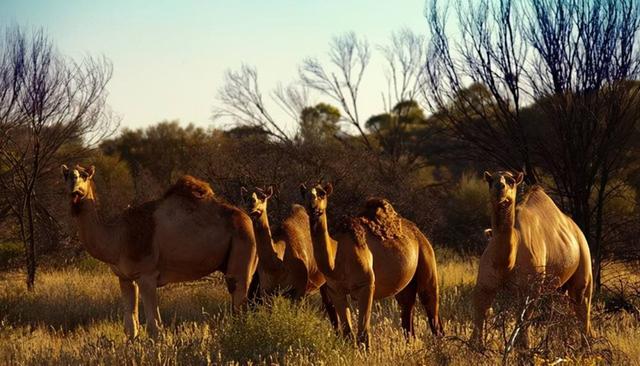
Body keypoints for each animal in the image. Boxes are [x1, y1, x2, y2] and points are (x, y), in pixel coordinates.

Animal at [62, 164, 258, 338]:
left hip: (242, 251)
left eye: (84, 175)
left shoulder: (147, 276)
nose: (74, 190)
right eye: (66, 175)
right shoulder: (125, 278)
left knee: (239, 300)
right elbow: (131, 327)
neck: (118, 238)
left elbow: (154, 327)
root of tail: (247, 220)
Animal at [298, 184, 440, 348]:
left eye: (322, 193)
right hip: (405, 286)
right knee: (407, 314)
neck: (336, 261)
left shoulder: (366, 285)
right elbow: (348, 334)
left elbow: (363, 335)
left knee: (432, 310)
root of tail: (418, 232)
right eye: (304, 194)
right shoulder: (335, 290)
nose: (313, 207)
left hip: (426, 257)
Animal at [472, 170, 592, 348]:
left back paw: (585, 348)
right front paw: (476, 349)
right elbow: (480, 314)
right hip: (555, 286)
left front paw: (524, 350)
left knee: (583, 307)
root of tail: (579, 232)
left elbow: (524, 322)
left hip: (584, 265)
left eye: (511, 181)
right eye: (490, 180)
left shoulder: (530, 288)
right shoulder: (484, 284)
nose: (499, 187)